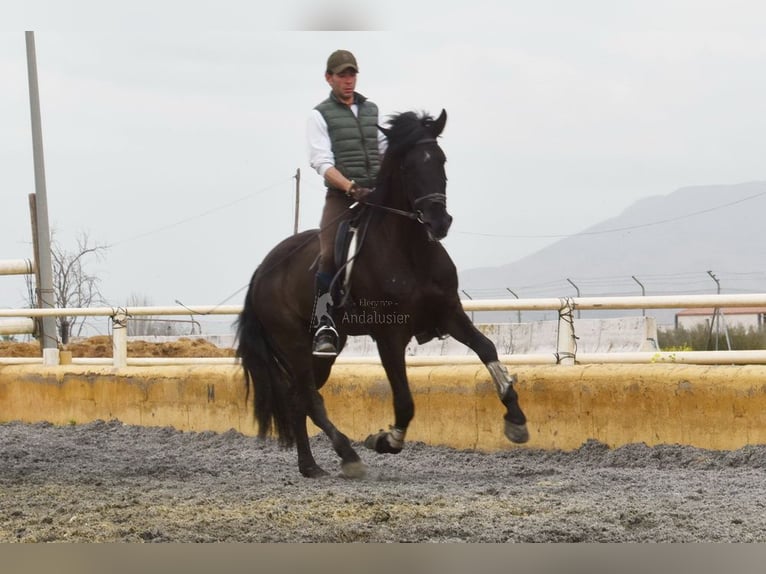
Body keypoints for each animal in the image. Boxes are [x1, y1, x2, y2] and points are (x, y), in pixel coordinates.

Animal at [236, 109, 528, 478]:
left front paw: (516, 419)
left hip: (325, 351)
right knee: (310, 398)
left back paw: (310, 466)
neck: (410, 249)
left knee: (296, 397)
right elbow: (404, 400)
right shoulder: (389, 334)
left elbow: (487, 348)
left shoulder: (450, 312)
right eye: (407, 167)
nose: (439, 221)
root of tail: (263, 270)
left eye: (442, 160)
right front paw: (385, 439)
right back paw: (347, 454)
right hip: (295, 343)